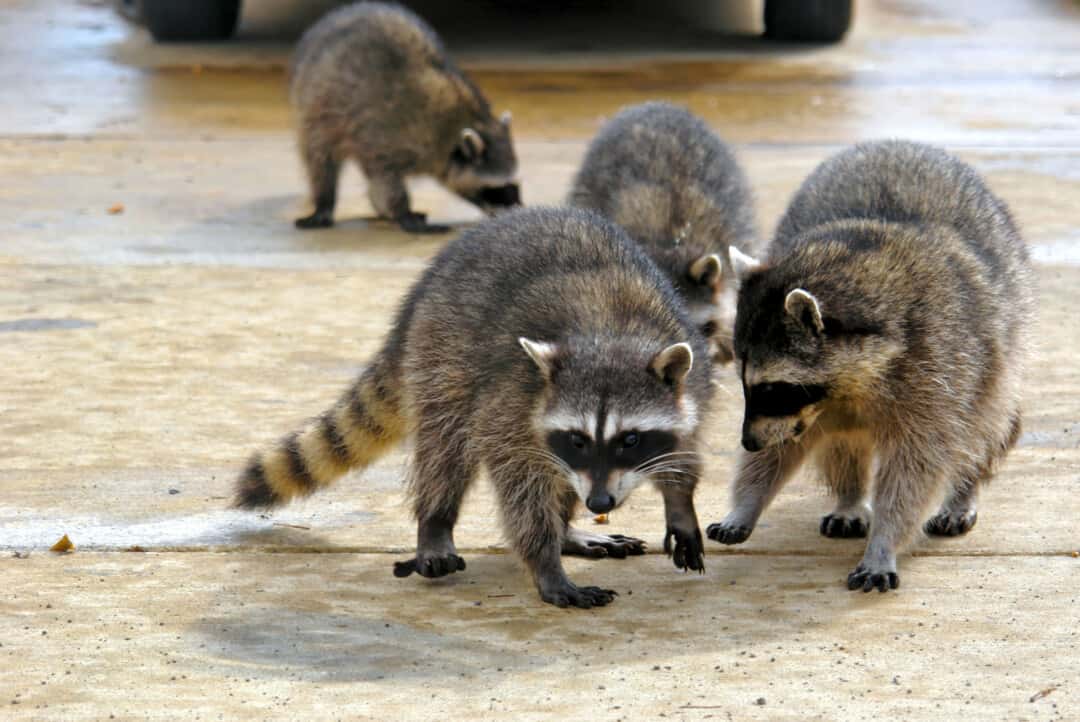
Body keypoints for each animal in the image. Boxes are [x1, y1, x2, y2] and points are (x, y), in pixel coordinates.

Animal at [235, 207, 714, 608]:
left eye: (630, 439)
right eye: (576, 439)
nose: (598, 501)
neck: (610, 334)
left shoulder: (693, 380)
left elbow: (683, 447)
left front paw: (679, 501)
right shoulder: (511, 399)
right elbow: (518, 481)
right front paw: (545, 561)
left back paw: (566, 529)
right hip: (442, 350)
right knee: (444, 447)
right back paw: (437, 522)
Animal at [290, 2, 520, 233]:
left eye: (515, 184)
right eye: (497, 189)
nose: (517, 210)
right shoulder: (387, 135)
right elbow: (386, 179)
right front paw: (402, 211)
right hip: (317, 108)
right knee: (319, 157)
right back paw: (324, 201)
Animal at [705, 140, 1031, 592]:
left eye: (773, 388)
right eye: (744, 382)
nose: (748, 442)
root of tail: (896, 143)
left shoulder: (939, 370)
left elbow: (917, 467)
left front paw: (884, 543)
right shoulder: (802, 411)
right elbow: (786, 445)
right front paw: (748, 501)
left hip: (999, 352)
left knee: (986, 425)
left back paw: (963, 489)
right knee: (843, 441)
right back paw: (849, 496)